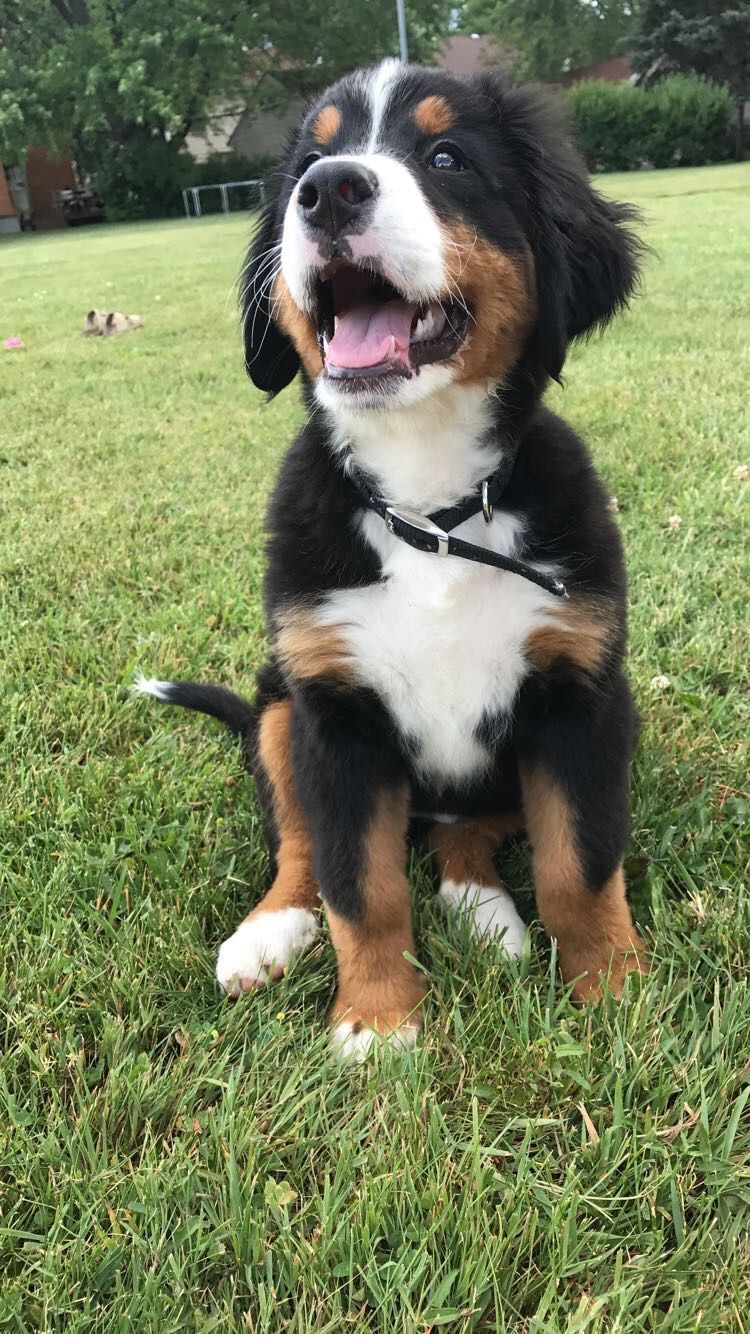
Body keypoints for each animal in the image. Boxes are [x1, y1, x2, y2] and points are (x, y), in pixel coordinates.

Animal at [137, 60, 645, 1061]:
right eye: (308, 159)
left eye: (447, 158)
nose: (330, 188)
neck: (429, 512)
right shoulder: (337, 716)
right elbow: (357, 884)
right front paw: (375, 1022)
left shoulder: (579, 696)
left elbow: (579, 862)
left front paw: (614, 992)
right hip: (279, 706)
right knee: (298, 846)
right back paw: (269, 931)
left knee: (468, 830)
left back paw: (485, 912)